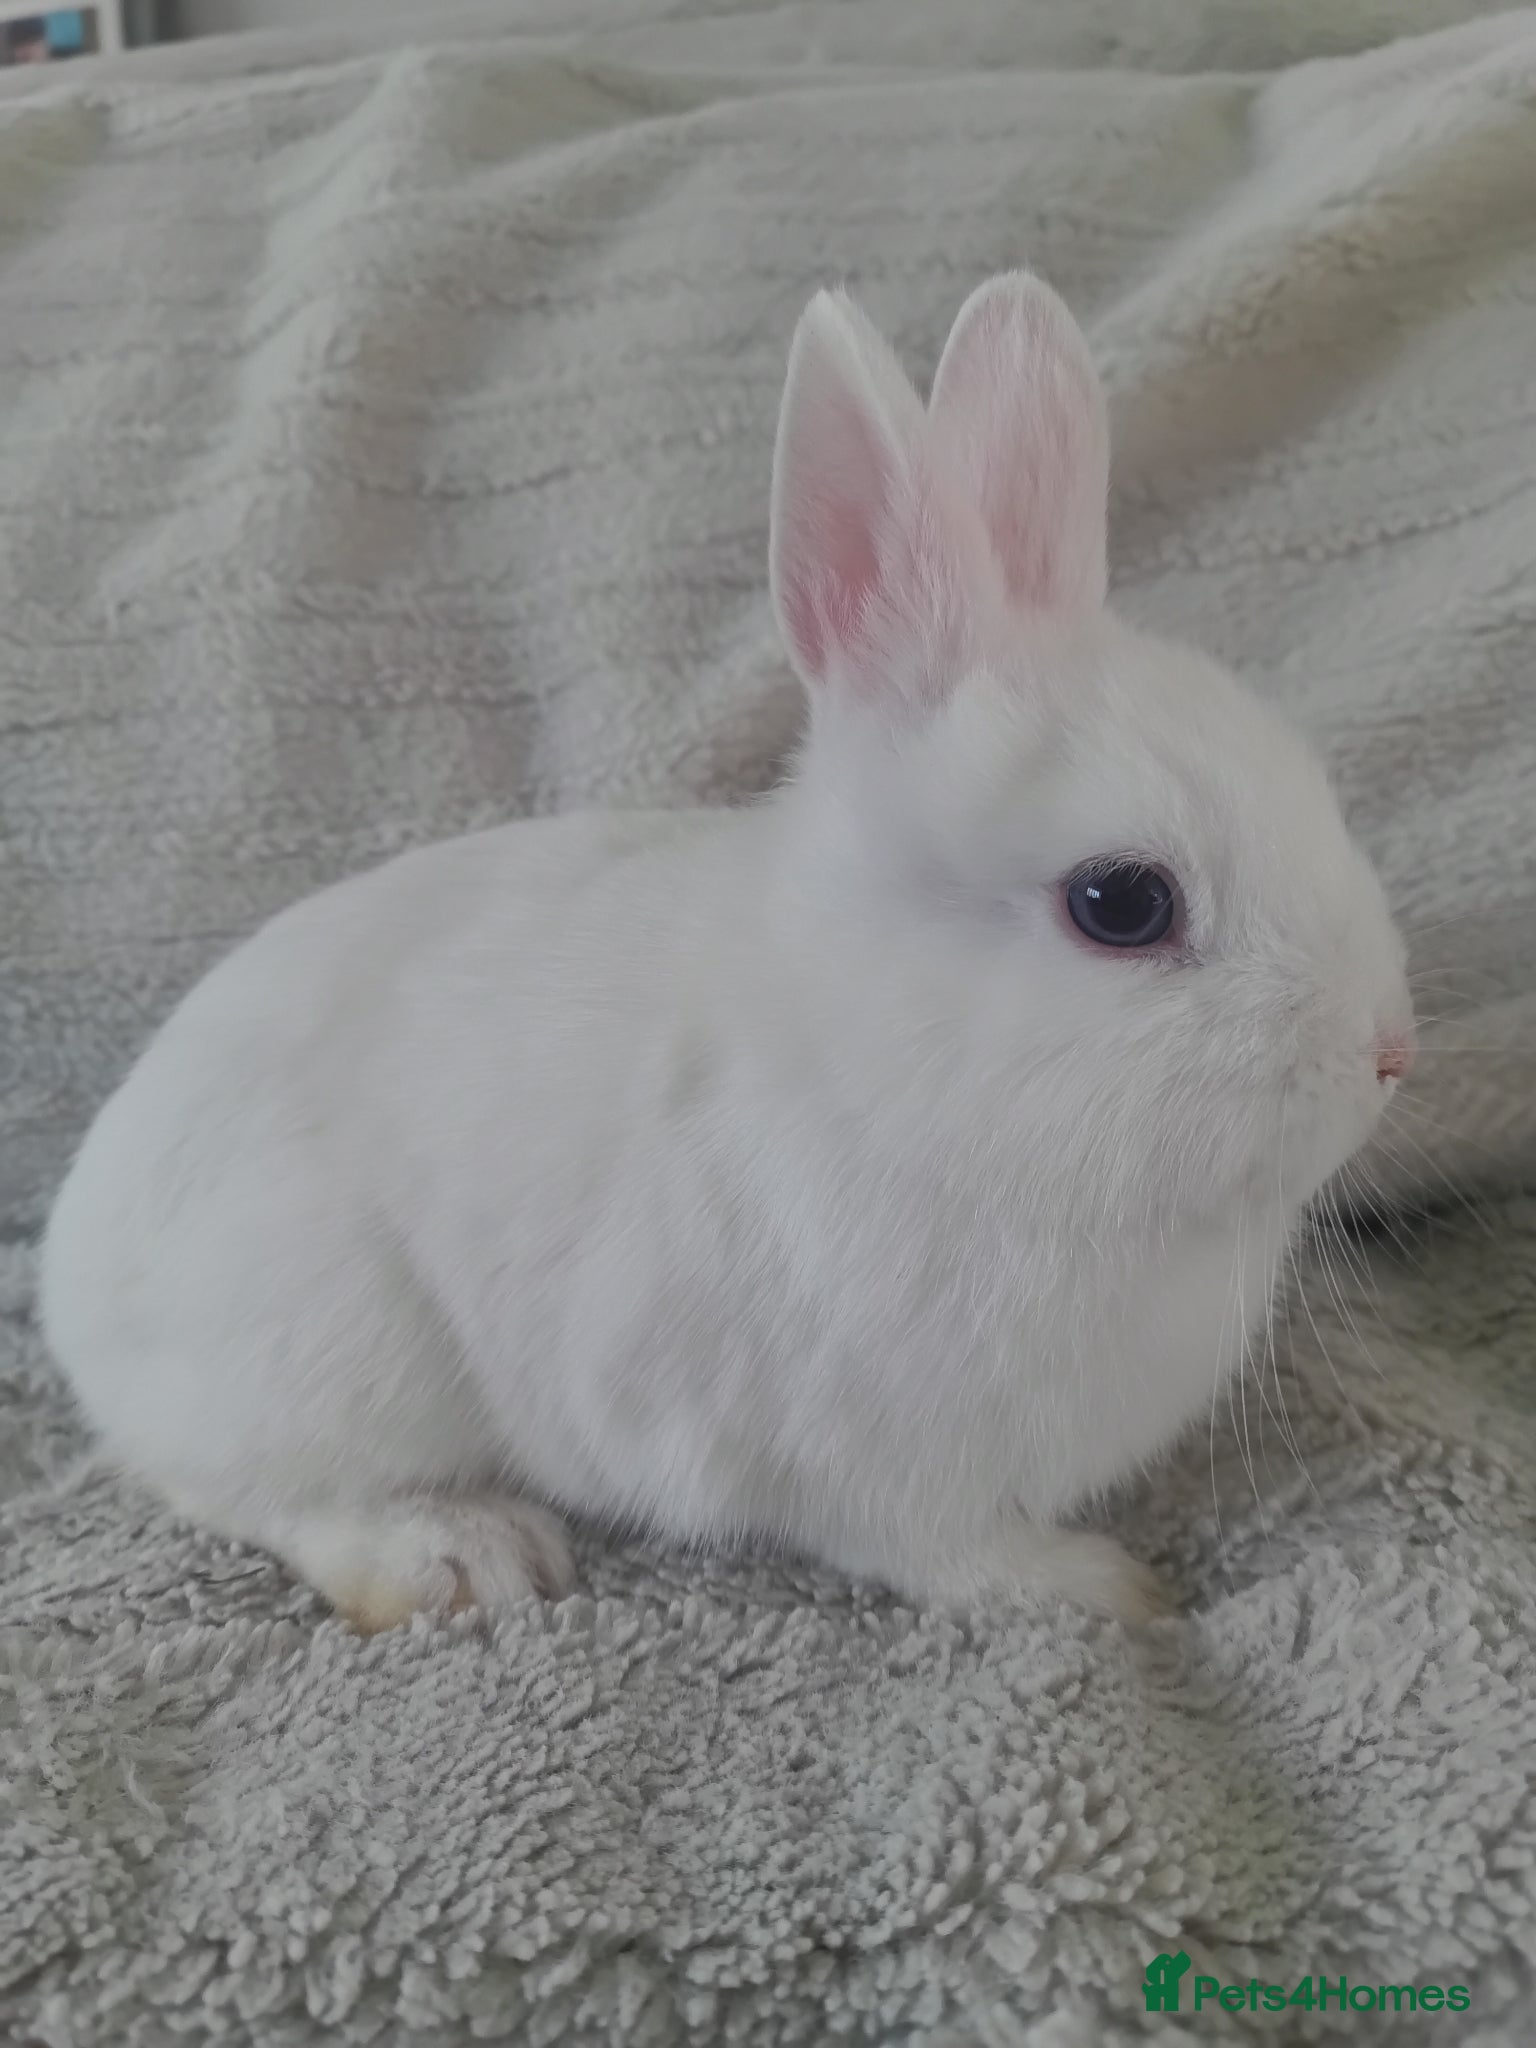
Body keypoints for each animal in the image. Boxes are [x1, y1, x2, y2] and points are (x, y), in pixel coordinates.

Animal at [40, 272, 1415, 1634]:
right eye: (1122, 903)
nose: (1389, 1053)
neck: (895, 1082)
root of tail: (69, 1275)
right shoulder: (876, 1465)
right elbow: (949, 1554)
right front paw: (1101, 1586)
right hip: (330, 1347)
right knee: (245, 1487)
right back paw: (463, 1554)